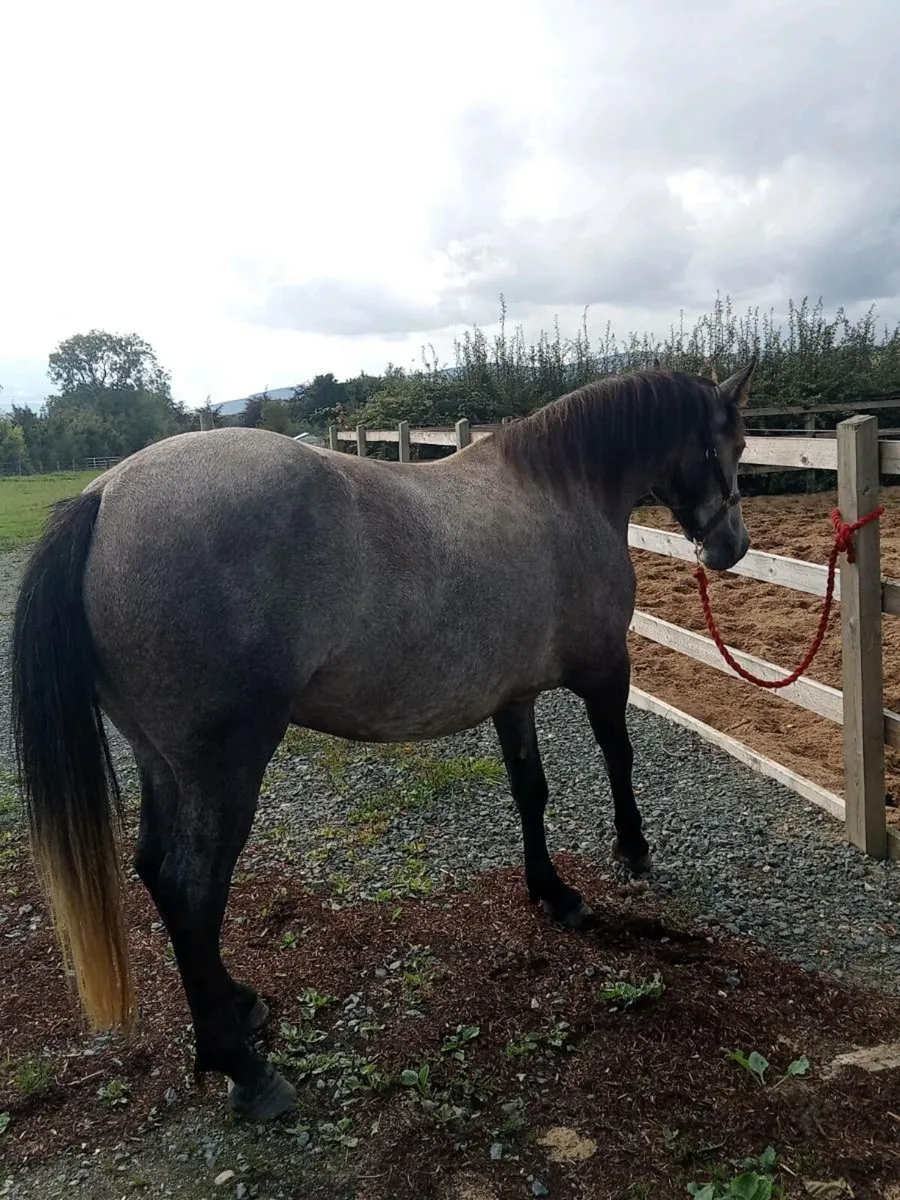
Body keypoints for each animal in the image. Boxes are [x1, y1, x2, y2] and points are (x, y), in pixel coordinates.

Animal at [10, 358, 755, 1120]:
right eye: (736, 445)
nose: (732, 547)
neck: (560, 490)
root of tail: (104, 497)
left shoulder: (512, 696)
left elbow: (531, 791)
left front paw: (553, 892)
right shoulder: (607, 672)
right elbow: (618, 759)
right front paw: (632, 851)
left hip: (160, 761)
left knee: (156, 871)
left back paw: (239, 1007)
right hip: (224, 769)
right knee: (193, 891)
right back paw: (243, 1068)